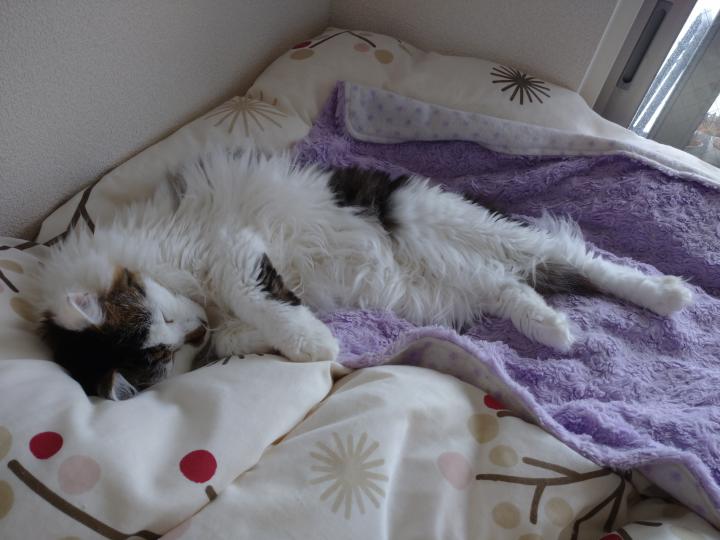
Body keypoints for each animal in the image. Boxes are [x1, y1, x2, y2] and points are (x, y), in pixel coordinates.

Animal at [30, 150, 694, 400]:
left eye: (166, 318)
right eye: (171, 347)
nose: (193, 327)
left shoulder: (230, 248)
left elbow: (257, 297)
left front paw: (314, 345)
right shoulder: (230, 307)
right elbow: (256, 324)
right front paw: (303, 339)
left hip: (448, 223)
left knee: (578, 259)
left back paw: (666, 295)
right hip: (443, 287)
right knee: (515, 287)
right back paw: (554, 329)